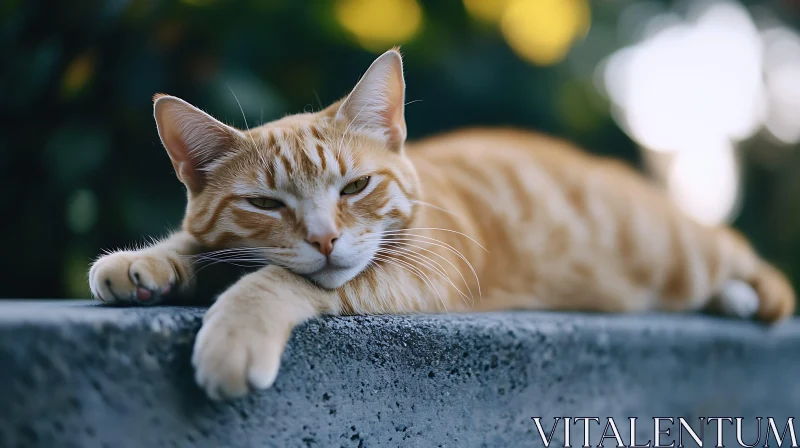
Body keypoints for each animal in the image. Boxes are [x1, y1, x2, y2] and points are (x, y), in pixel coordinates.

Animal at [86, 50, 792, 400]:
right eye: (265, 204)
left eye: (355, 187)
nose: (324, 238)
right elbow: (198, 245)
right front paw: (145, 262)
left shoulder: (426, 273)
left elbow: (281, 282)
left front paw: (233, 330)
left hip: (680, 252)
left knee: (742, 260)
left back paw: (743, 293)